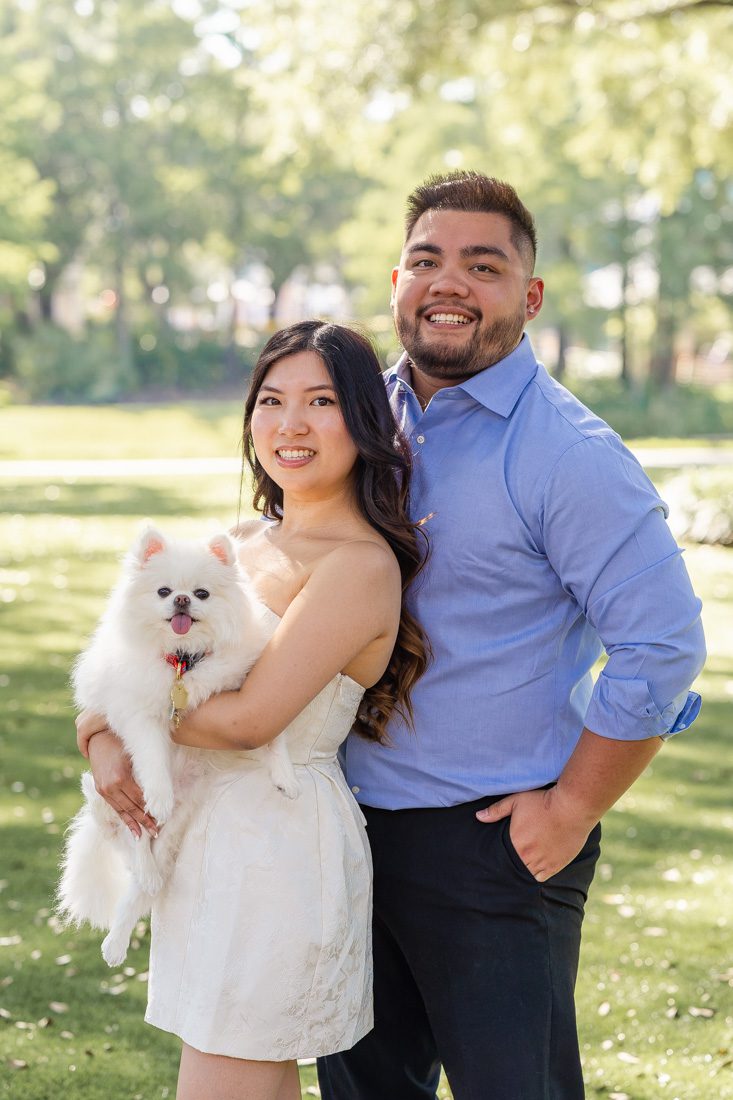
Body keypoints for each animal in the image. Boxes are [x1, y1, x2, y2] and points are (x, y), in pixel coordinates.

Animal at [57, 528, 297, 968]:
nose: (182, 600)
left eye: (201, 593)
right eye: (164, 591)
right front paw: (160, 794)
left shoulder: (246, 699)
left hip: (170, 837)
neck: (183, 660)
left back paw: (119, 938)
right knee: (135, 839)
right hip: (106, 798)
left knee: (139, 883)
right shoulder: (140, 715)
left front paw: (285, 776)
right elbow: (152, 758)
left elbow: (275, 736)